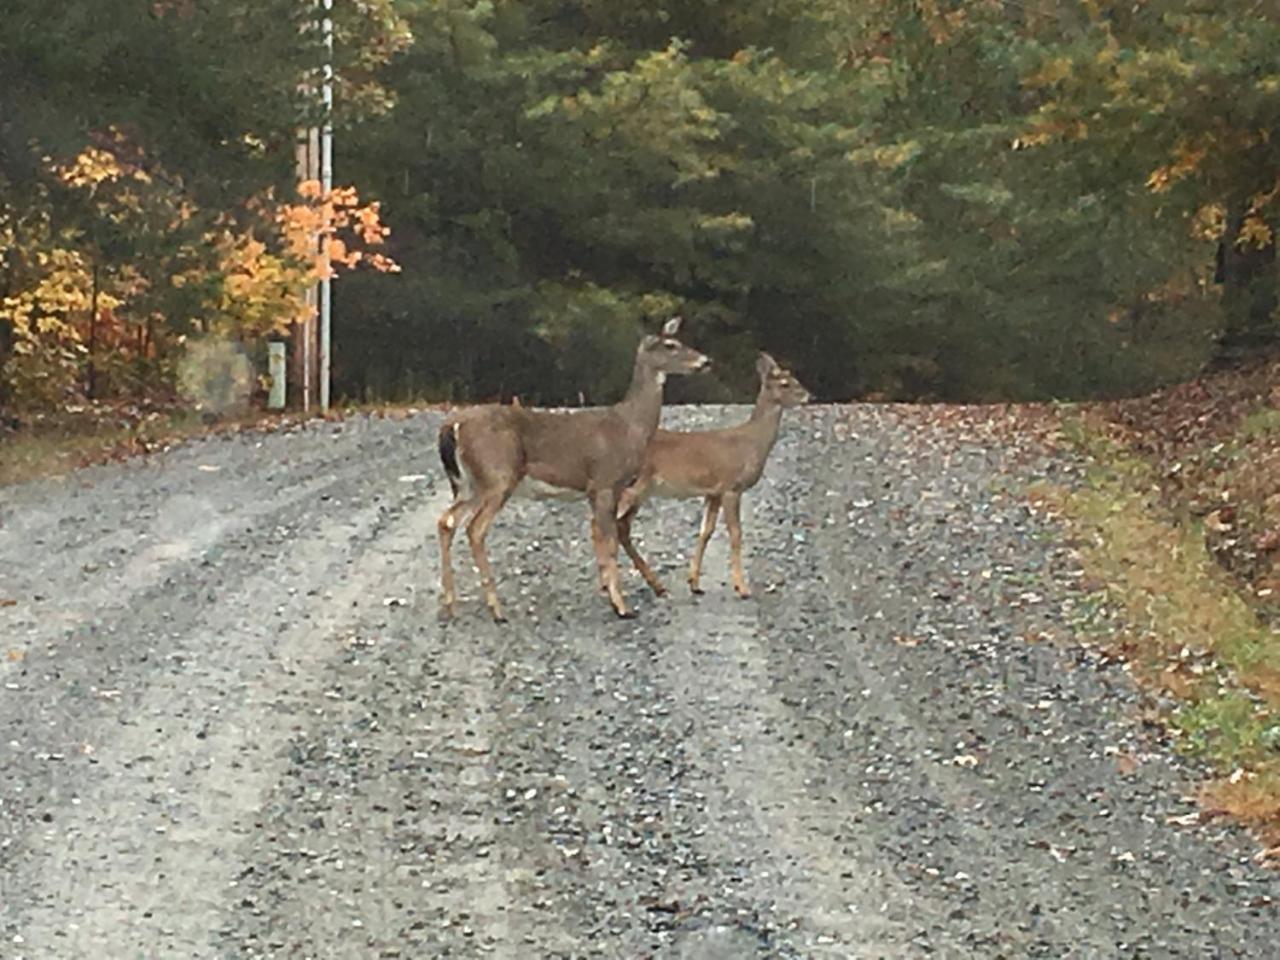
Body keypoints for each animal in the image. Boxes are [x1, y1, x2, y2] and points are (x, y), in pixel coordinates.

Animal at [437, 320, 711, 624]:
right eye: (671, 345)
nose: (705, 361)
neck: (630, 427)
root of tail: (452, 427)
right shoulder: (604, 481)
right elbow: (610, 542)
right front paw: (622, 606)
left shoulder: (604, 488)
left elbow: (603, 540)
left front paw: (612, 596)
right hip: (498, 476)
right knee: (475, 529)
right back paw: (496, 610)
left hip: (468, 484)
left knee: (446, 522)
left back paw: (450, 605)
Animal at [611, 350, 808, 599]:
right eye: (784, 383)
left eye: (793, 377)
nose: (808, 395)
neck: (752, 443)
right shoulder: (732, 486)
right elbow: (735, 533)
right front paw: (742, 587)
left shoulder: (713, 492)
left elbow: (706, 531)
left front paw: (694, 583)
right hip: (635, 487)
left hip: (641, 492)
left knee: (621, 528)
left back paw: (655, 585)